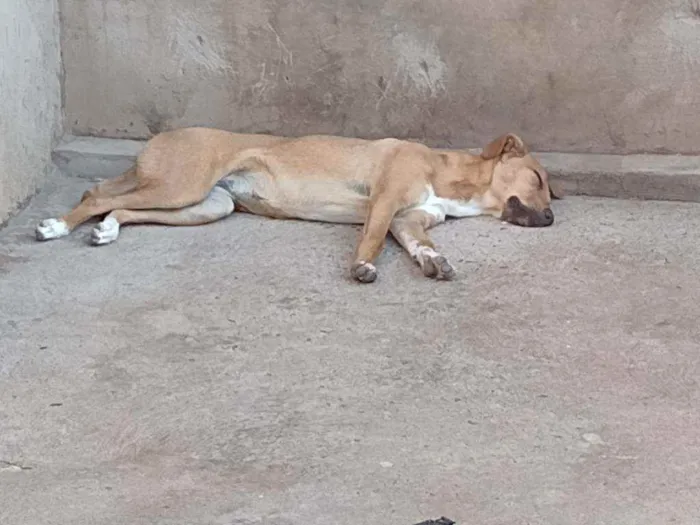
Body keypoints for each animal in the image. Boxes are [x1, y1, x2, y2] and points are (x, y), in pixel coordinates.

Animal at [37, 127, 564, 282]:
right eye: (538, 178)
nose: (553, 218)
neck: (453, 179)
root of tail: (164, 136)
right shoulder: (386, 201)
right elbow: (372, 237)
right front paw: (361, 266)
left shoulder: (409, 220)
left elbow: (419, 243)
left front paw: (432, 259)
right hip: (179, 185)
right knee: (95, 195)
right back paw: (56, 226)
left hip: (207, 205)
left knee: (123, 209)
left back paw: (108, 228)